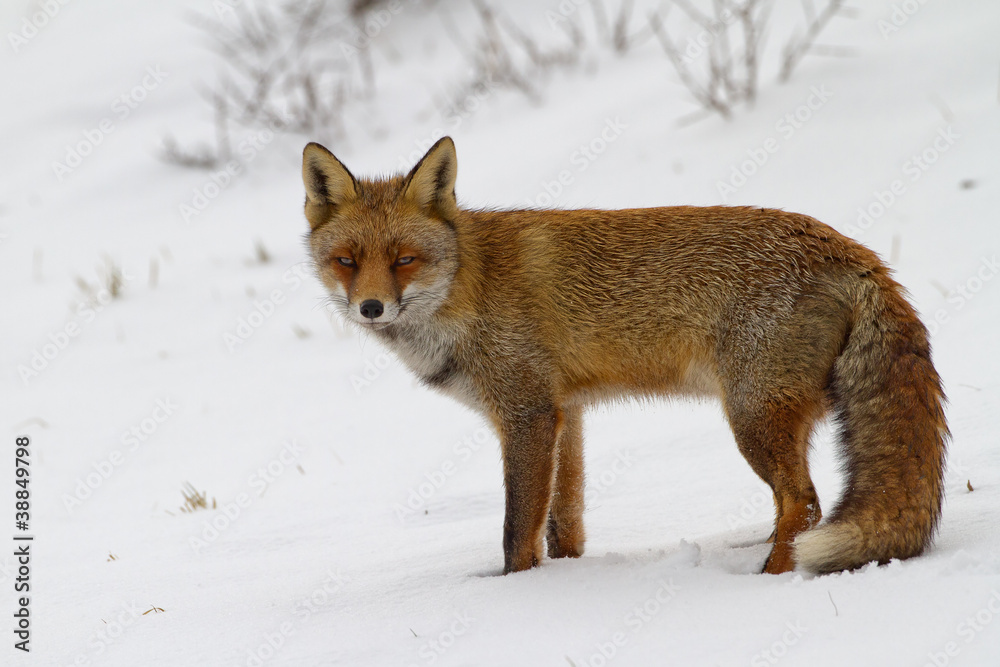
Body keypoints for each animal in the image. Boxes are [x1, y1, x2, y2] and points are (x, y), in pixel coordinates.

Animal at [300, 136, 948, 575]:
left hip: (751, 417)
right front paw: (566, 574)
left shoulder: (527, 413)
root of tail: (852, 249)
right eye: (347, 261)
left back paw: (768, 579)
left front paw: (514, 591)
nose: (372, 308)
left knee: (807, 506)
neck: (467, 285)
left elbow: (516, 531)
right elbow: (564, 522)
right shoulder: (567, 413)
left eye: (404, 259)